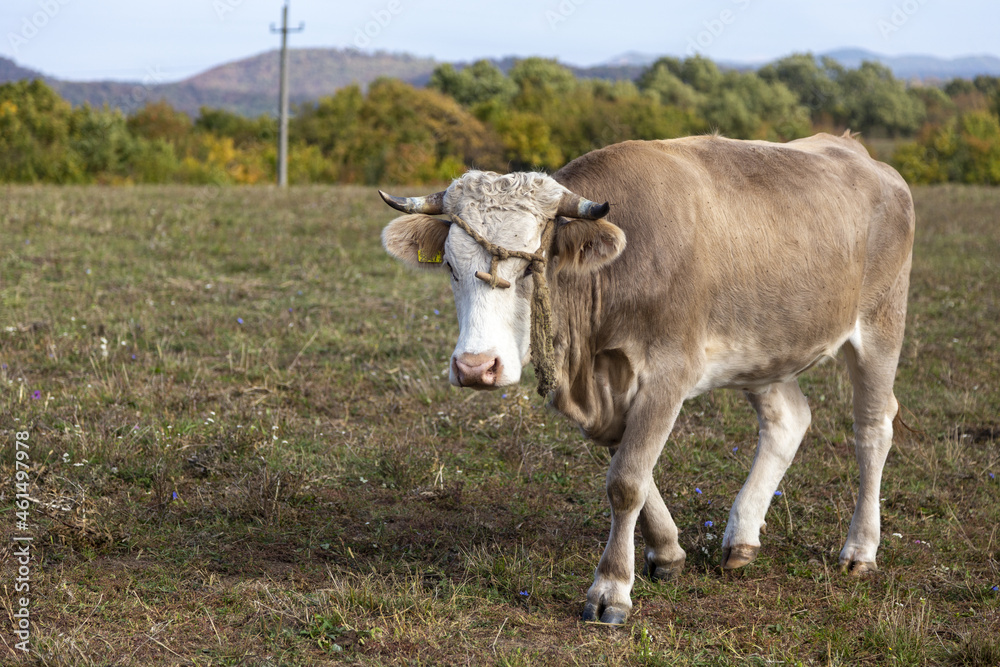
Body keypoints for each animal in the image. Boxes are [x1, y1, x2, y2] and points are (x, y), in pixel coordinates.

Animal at [376, 132, 916, 628]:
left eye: (533, 266)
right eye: (450, 266)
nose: (474, 367)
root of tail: (860, 153)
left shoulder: (669, 371)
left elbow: (627, 480)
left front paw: (611, 588)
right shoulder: (610, 391)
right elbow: (633, 466)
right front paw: (668, 552)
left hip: (881, 324)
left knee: (873, 429)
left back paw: (860, 549)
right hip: (767, 348)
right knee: (789, 420)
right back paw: (742, 539)